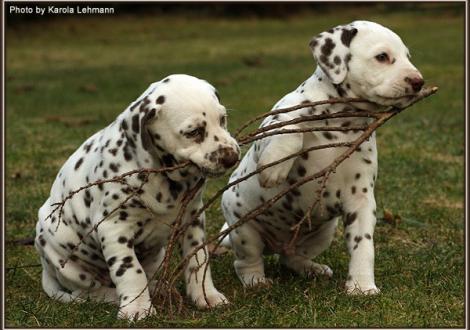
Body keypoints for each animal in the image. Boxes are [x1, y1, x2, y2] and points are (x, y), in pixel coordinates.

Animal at [36, 75, 241, 320]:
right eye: (193, 132)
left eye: (222, 119)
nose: (232, 157)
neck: (165, 177)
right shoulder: (113, 228)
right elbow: (130, 271)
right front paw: (137, 308)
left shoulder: (192, 220)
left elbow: (198, 260)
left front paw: (206, 296)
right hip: (62, 257)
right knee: (88, 291)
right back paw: (113, 296)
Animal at [222, 20, 424, 294]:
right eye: (382, 57)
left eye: (408, 57)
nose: (419, 82)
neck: (342, 122)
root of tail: (277, 245)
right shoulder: (273, 126)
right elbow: (291, 131)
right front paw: (274, 167)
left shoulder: (360, 200)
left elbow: (364, 246)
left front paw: (362, 285)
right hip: (244, 230)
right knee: (246, 261)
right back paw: (256, 281)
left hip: (323, 232)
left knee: (290, 258)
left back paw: (311, 268)